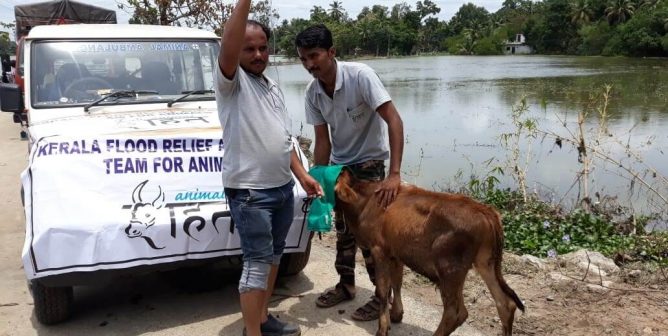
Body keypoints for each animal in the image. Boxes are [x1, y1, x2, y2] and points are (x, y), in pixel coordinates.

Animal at [336, 171, 524, 336]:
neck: (366, 200)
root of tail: (485, 211)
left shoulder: (379, 249)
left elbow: (383, 290)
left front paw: (383, 329)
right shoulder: (395, 252)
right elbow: (397, 283)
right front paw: (397, 315)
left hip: (449, 267)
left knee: (456, 312)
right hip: (485, 263)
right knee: (505, 303)